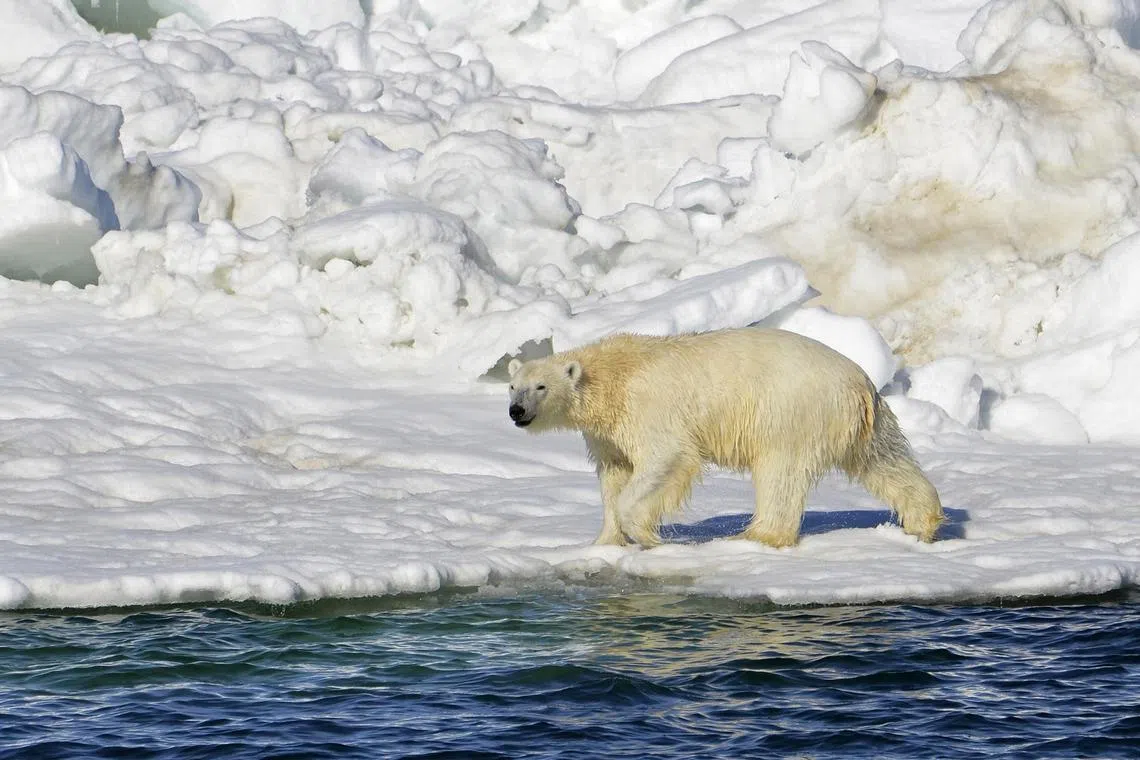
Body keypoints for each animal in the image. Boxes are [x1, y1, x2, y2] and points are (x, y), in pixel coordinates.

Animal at [507, 327, 944, 548]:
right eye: (513, 386)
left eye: (541, 386)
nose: (516, 411)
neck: (613, 375)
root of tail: (859, 383)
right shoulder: (608, 433)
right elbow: (614, 474)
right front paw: (605, 541)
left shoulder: (649, 408)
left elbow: (666, 459)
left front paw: (645, 535)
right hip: (863, 422)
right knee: (884, 460)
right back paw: (923, 522)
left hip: (791, 411)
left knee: (780, 473)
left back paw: (756, 535)